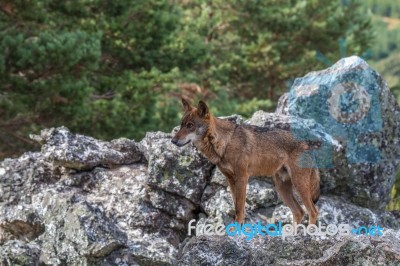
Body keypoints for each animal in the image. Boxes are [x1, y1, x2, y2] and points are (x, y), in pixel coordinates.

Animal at [170, 99, 320, 224]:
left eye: (190, 125)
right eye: (181, 125)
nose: (173, 141)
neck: (225, 143)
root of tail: (307, 144)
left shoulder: (242, 177)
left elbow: (239, 208)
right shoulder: (231, 180)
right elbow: (236, 206)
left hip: (299, 185)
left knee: (313, 211)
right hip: (282, 188)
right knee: (299, 212)